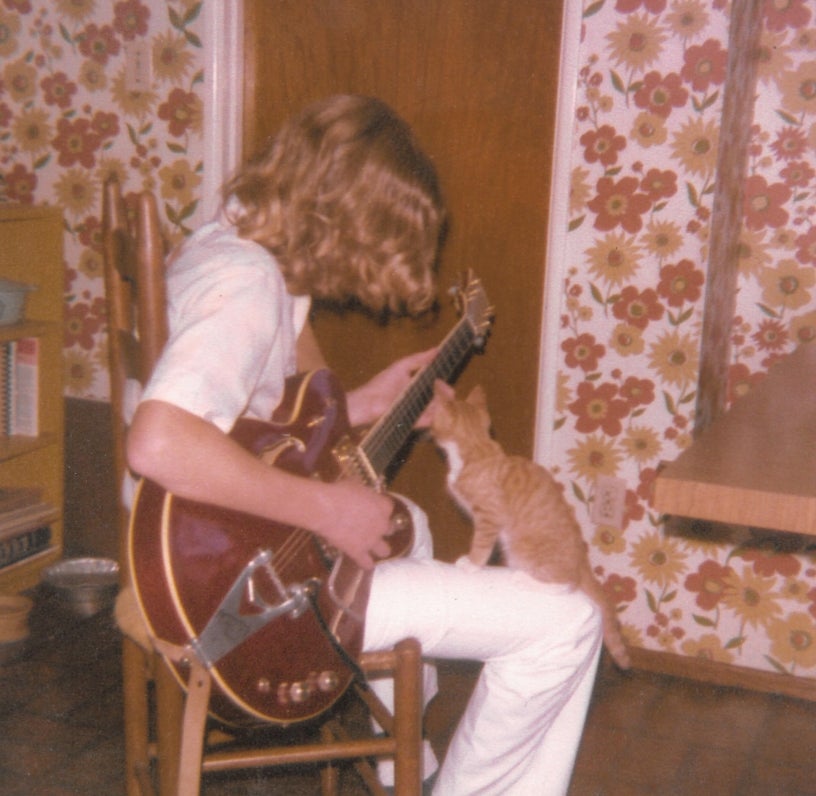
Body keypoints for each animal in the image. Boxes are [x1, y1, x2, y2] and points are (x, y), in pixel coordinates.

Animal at [428, 382, 632, 668]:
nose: (428, 433)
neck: (477, 449)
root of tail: (583, 560)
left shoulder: (489, 516)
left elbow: (480, 544)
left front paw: (471, 563)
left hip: (522, 549)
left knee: (567, 584)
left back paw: (524, 579)